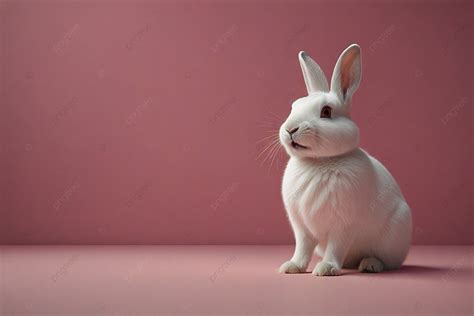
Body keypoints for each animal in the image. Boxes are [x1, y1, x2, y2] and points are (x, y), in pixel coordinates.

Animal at [278, 43, 412, 276]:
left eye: (326, 111)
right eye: (293, 107)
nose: (290, 129)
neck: (320, 161)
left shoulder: (343, 225)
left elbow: (335, 247)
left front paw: (326, 269)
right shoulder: (301, 227)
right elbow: (302, 248)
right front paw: (291, 267)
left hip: (393, 236)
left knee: (388, 262)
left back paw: (370, 265)